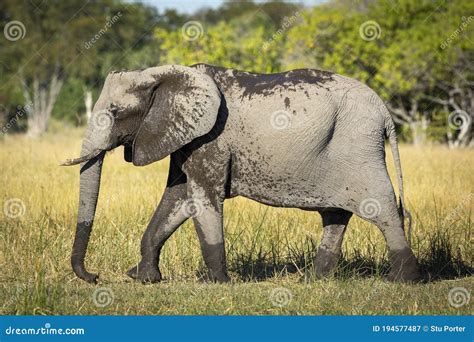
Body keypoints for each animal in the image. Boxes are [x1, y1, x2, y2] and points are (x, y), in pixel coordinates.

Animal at [61, 63, 420, 284]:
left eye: (116, 112)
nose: (94, 276)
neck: (161, 74)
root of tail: (384, 111)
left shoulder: (211, 139)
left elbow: (203, 198)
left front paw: (216, 283)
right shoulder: (187, 137)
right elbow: (178, 198)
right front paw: (143, 278)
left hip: (358, 146)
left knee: (382, 207)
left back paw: (402, 280)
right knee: (334, 215)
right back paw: (313, 279)